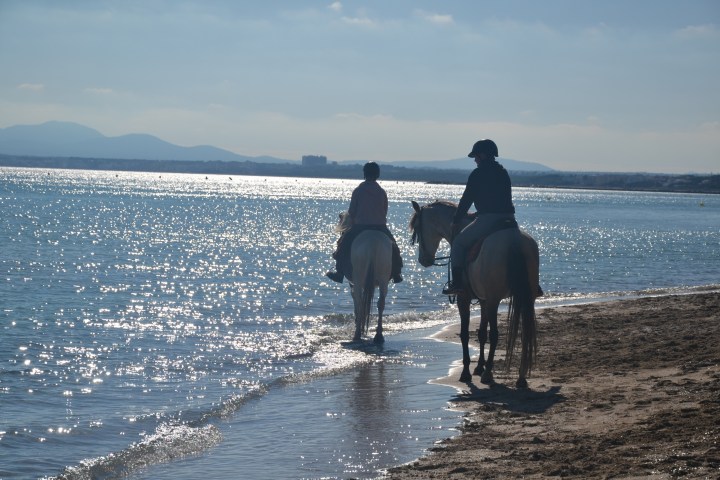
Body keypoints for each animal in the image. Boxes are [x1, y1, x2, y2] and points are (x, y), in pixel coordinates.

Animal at [335, 212, 392, 344]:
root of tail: (373, 243)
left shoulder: (353, 284)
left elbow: (357, 303)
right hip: (383, 279)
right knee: (381, 303)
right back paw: (378, 335)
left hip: (358, 278)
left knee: (361, 302)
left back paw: (357, 334)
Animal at [410, 200, 540, 388]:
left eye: (418, 230)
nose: (423, 260)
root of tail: (514, 240)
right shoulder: (484, 300)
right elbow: (481, 333)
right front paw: (478, 366)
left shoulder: (464, 299)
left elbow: (465, 334)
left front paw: (466, 372)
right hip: (524, 297)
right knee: (523, 332)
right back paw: (521, 378)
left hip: (495, 300)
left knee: (495, 335)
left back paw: (488, 374)